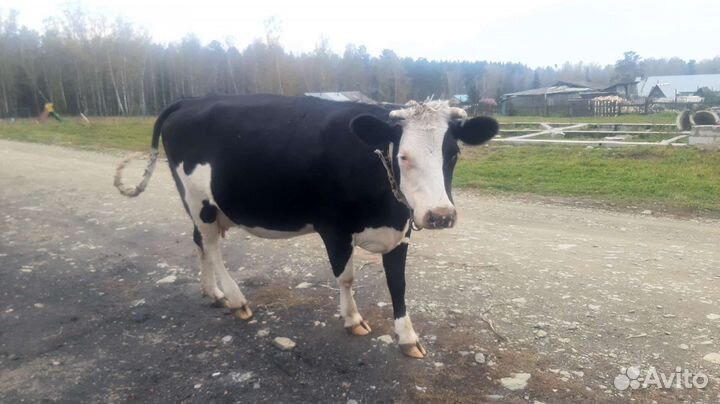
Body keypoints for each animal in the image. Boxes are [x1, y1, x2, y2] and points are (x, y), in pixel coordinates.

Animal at [114, 95, 498, 358]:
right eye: (403, 156)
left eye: (453, 154)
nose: (439, 215)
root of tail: (191, 100)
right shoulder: (333, 228)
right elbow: (346, 277)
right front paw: (353, 319)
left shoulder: (399, 231)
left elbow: (398, 284)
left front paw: (408, 338)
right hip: (200, 201)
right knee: (211, 247)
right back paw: (236, 299)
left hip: (202, 207)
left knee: (199, 242)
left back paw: (214, 293)